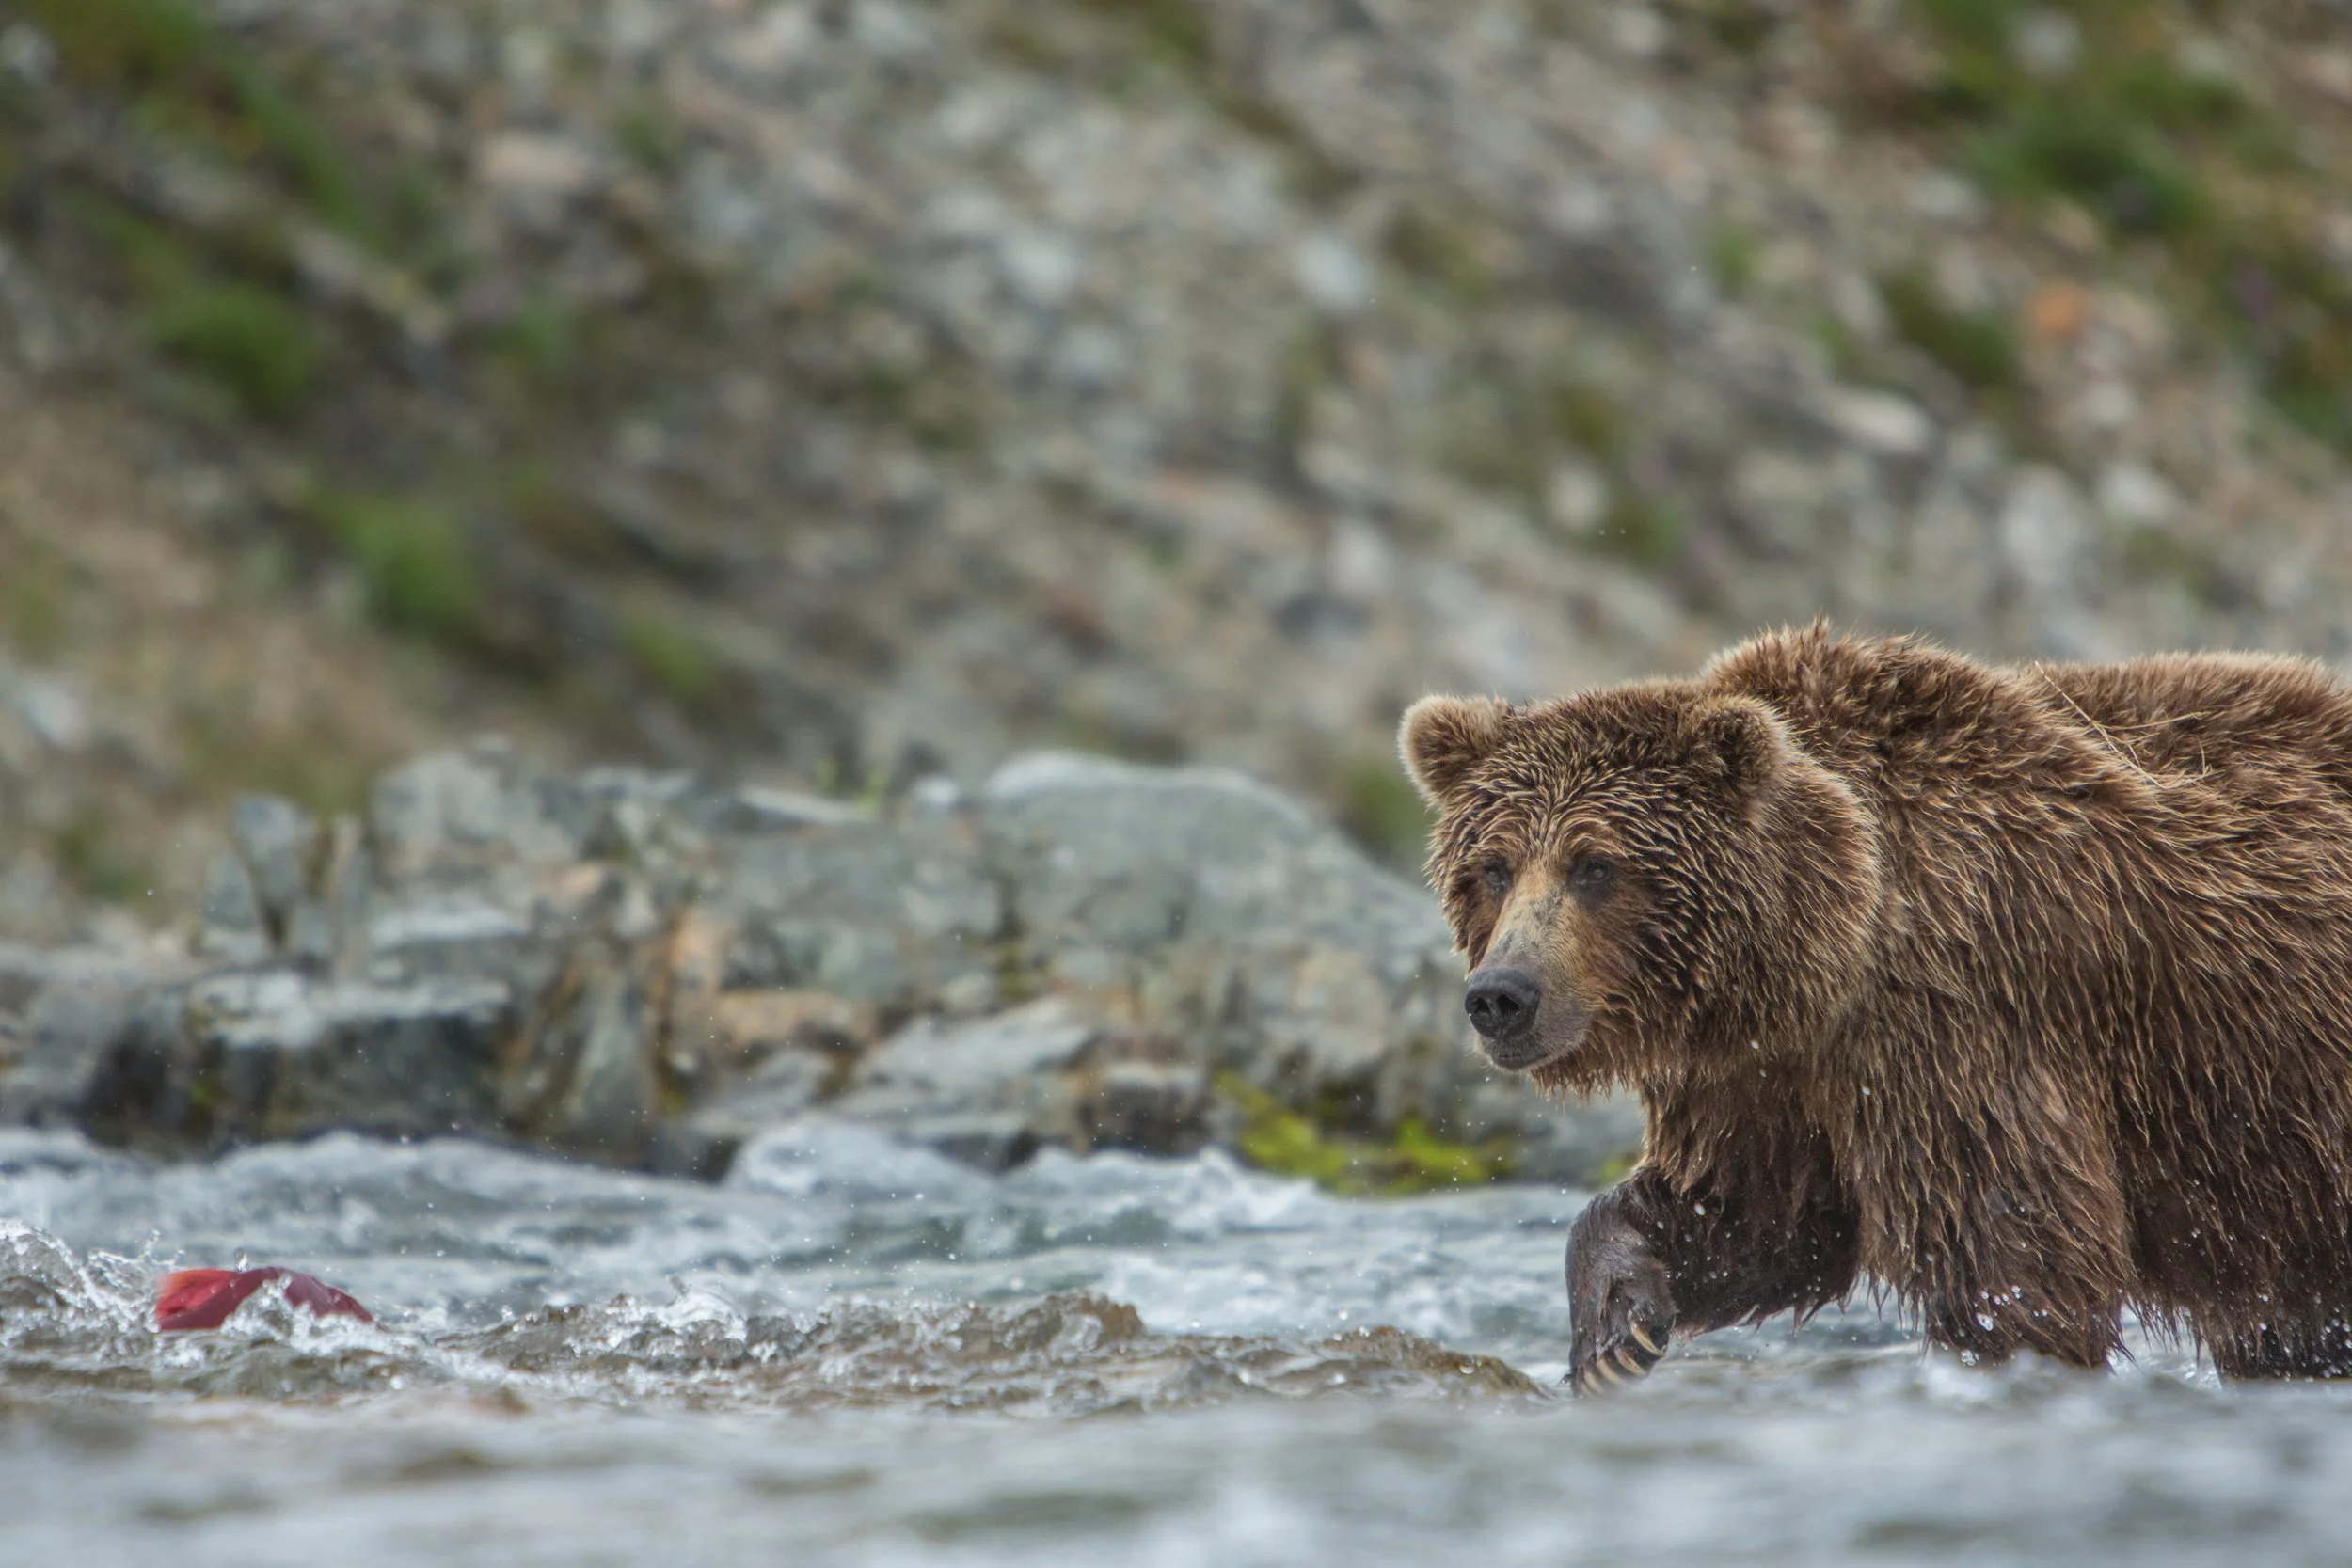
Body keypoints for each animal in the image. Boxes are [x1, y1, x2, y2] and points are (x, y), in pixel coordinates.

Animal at [1399, 624, 2352, 1392]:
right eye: (1492, 866)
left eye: (1595, 865)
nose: (1501, 995)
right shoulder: (1767, 1071)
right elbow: (1749, 1215)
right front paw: (1613, 1326)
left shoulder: (1956, 1020)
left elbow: (2013, 1254)